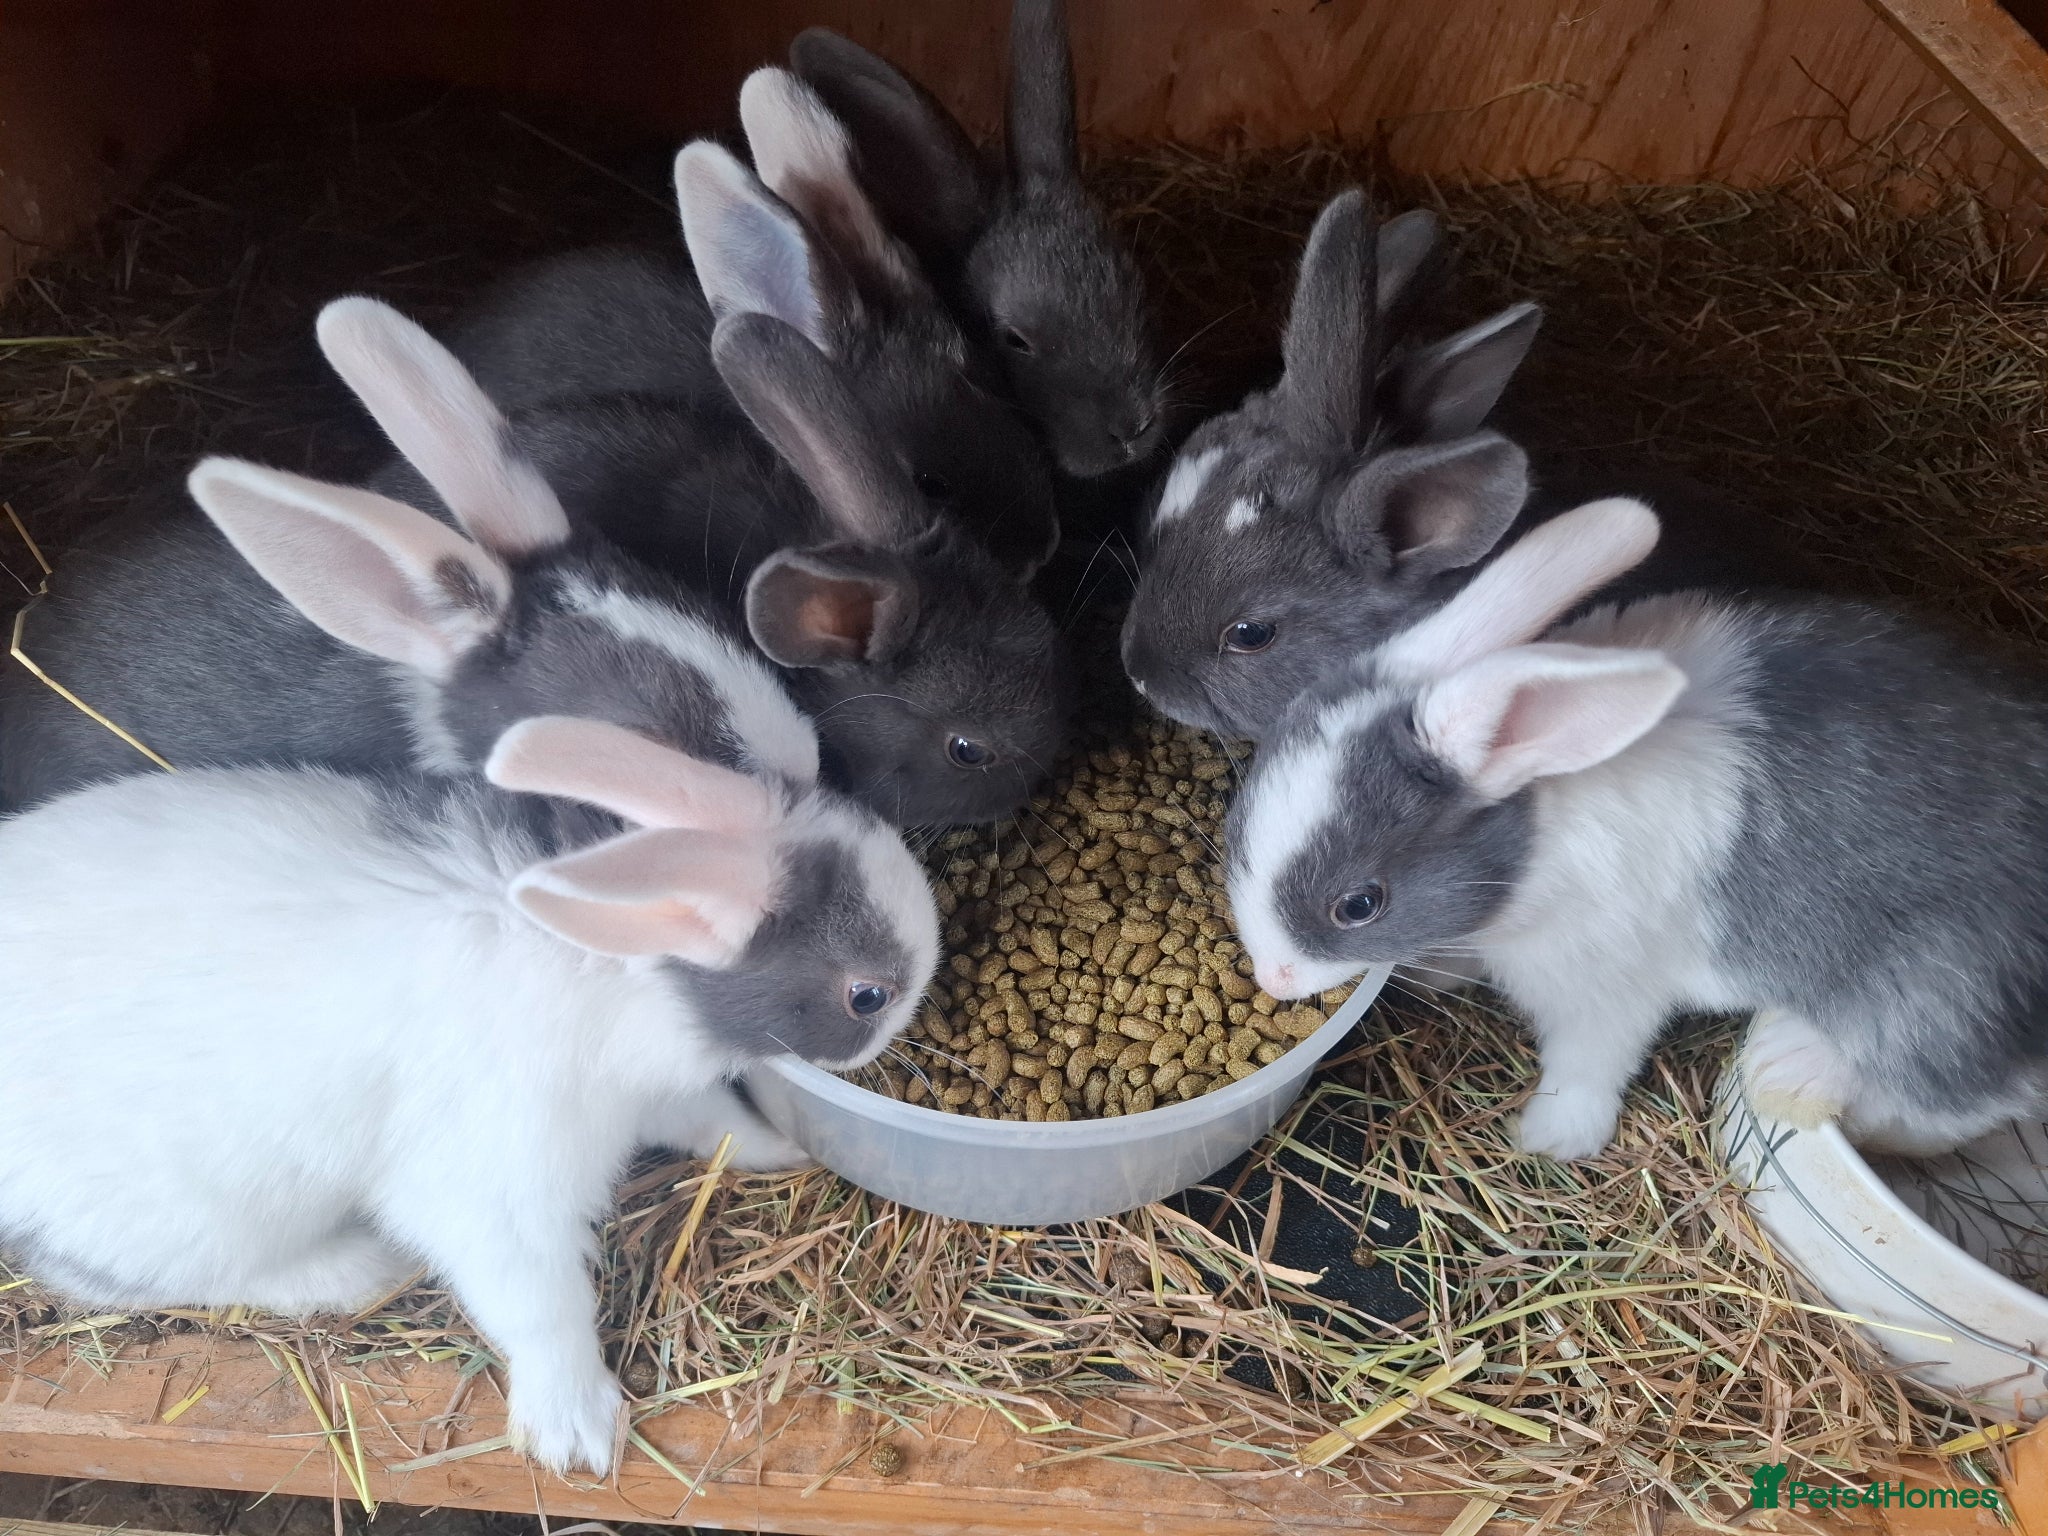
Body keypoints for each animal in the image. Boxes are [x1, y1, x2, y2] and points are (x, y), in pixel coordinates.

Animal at [0, 712, 939, 1474]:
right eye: (867, 995)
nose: (918, 998)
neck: (606, 961)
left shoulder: (645, 1098)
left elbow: (712, 1122)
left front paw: (781, 1151)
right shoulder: (492, 1186)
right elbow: (540, 1302)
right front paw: (575, 1432)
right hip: (193, 1213)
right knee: (109, 1275)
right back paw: (359, 1268)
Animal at [1226, 496, 2048, 1162]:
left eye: (1359, 904)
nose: (1272, 978)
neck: (1539, 818)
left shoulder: (1606, 990)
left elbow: (1587, 1063)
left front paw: (1552, 1138)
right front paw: (1433, 972)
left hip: (1940, 996)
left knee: (1954, 1105)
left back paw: (1789, 1068)